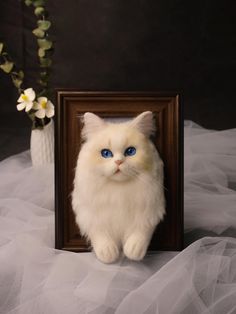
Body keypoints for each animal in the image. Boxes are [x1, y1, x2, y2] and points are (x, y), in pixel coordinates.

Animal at [72, 111, 166, 264]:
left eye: (130, 151)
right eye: (106, 153)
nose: (118, 162)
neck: (119, 192)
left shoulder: (150, 211)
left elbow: (140, 233)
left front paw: (133, 251)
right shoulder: (89, 213)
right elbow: (99, 233)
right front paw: (108, 254)